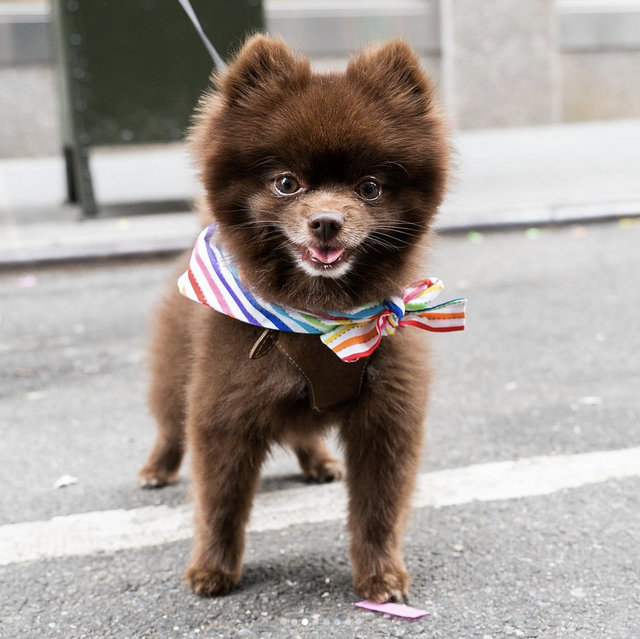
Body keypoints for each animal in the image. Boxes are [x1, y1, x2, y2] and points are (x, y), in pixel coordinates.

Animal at [139, 35, 450, 604]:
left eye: (369, 188)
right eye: (286, 183)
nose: (326, 221)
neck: (320, 316)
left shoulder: (386, 416)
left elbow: (378, 509)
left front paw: (380, 575)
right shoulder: (226, 407)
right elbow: (220, 503)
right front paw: (212, 569)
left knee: (304, 431)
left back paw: (319, 462)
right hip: (176, 372)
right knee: (171, 424)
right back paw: (157, 468)